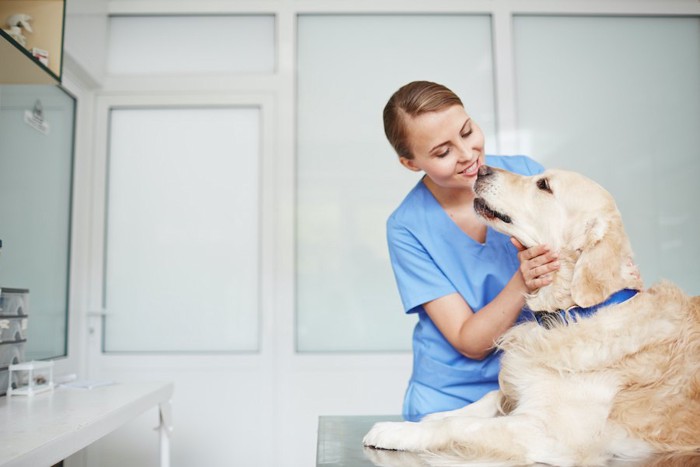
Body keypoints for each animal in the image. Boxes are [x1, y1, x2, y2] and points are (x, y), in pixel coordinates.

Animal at [364, 166, 696, 466]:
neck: (572, 314)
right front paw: (426, 417)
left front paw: (396, 431)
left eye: (544, 185)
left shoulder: (553, 435)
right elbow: (486, 399)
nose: (481, 169)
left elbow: (459, 425)